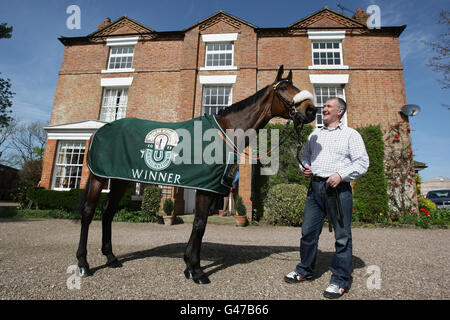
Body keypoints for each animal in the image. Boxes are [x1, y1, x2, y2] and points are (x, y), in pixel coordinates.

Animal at [75, 64, 316, 282]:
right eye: (283, 88)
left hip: (119, 180)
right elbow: (200, 225)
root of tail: (100, 130)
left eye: (294, 85)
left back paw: (111, 258)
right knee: (88, 212)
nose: (311, 110)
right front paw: (197, 271)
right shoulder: (206, 188)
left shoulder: (210, 188)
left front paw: (189, 266)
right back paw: (83, 264)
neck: (225, 132)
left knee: (107, 211)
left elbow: (200, 223)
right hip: (98, 178)